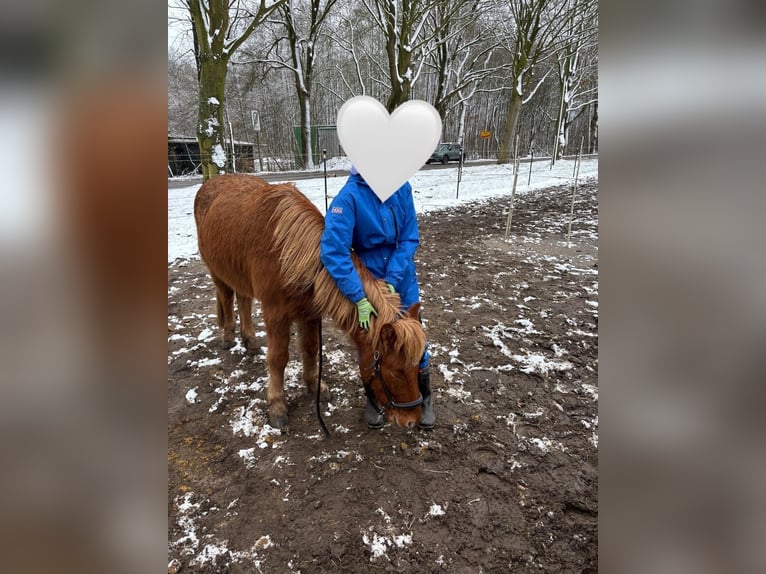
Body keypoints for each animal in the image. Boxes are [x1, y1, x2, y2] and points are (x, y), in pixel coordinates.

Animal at [194, 174, 426, 430]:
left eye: (418, 366)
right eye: (395, 371)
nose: (411, 420)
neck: (289, 252)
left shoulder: (310, 312)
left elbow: (311, 348)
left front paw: (315, 385)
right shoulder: (276, 314)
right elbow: (278, 359)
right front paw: (277, 406)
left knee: (244, 301)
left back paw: (250, 341)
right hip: (218, 274)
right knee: (227, 299)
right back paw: (228, 337)